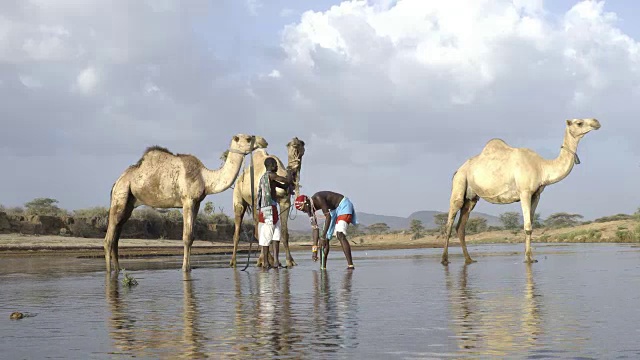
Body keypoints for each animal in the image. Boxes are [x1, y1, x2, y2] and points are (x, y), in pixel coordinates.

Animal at [104, 134, 268, 272]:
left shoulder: (197, 202)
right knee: (109, 237)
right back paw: (109, 271)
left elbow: (192, 237)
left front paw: (188, 266)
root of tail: (117, 181)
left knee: (117, 235)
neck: (205, 178)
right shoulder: (187, 200)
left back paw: (118, 269)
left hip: (129, 202)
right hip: (120, 195)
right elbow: (187, 237)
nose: (264, 141)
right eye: (248, 138)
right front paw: (185, 268)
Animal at [229, 137, 306, 268]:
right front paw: (263, 261)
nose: (295, 142)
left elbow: (284, 232)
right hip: (239, 196)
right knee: (239, 228)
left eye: (302, 143)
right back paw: (235, 262)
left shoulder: (285, 201)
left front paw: (290, 261)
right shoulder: (258, 201)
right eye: (288, 144)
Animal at [440, 118, 600, 264]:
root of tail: (458, 170)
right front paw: (528, 259)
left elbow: (531, 224)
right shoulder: (524, 192)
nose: (596, 122)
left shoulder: (536, 194)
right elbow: (528, 227)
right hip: (460, 183)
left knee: (461, 226)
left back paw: (469, 259)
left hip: (471, 198)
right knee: (449, 223)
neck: (541, 167)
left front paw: (531, 257)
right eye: (579, 123)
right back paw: (444, 259)